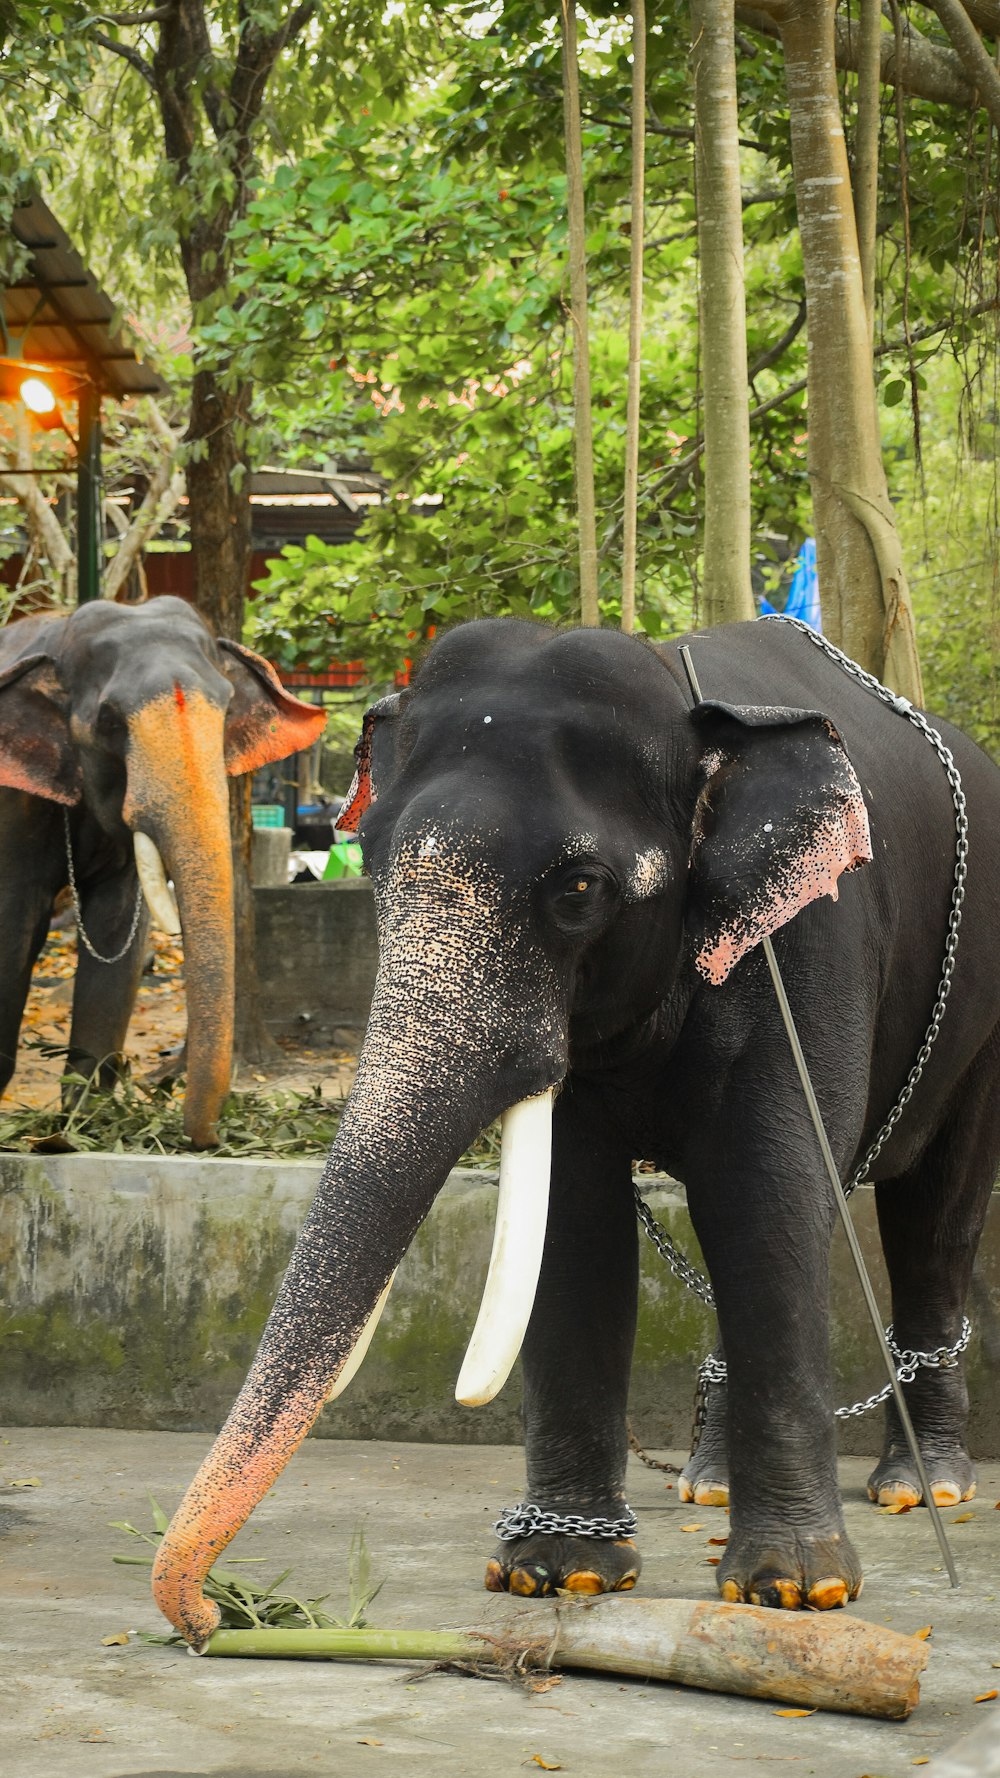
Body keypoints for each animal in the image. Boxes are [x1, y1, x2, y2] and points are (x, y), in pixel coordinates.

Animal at [0, 597, 325, 1152]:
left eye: (226, 708)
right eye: (109, 720)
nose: (205, 1138)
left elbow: (116, 940)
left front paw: (84, 1128)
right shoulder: (11, 806)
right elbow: (13, 930)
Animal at [149, 618, 996, 1642]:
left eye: (581, 887)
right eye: (376, 862)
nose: (210, 1617)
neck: (685, 700)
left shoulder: (808, 948)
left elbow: (769, 1199)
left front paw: (797, 1590)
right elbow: (577, 1221)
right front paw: (557, 1572)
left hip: (981, 1022)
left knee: (935, 1213)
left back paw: (925, 1490)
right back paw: (710, 1487)